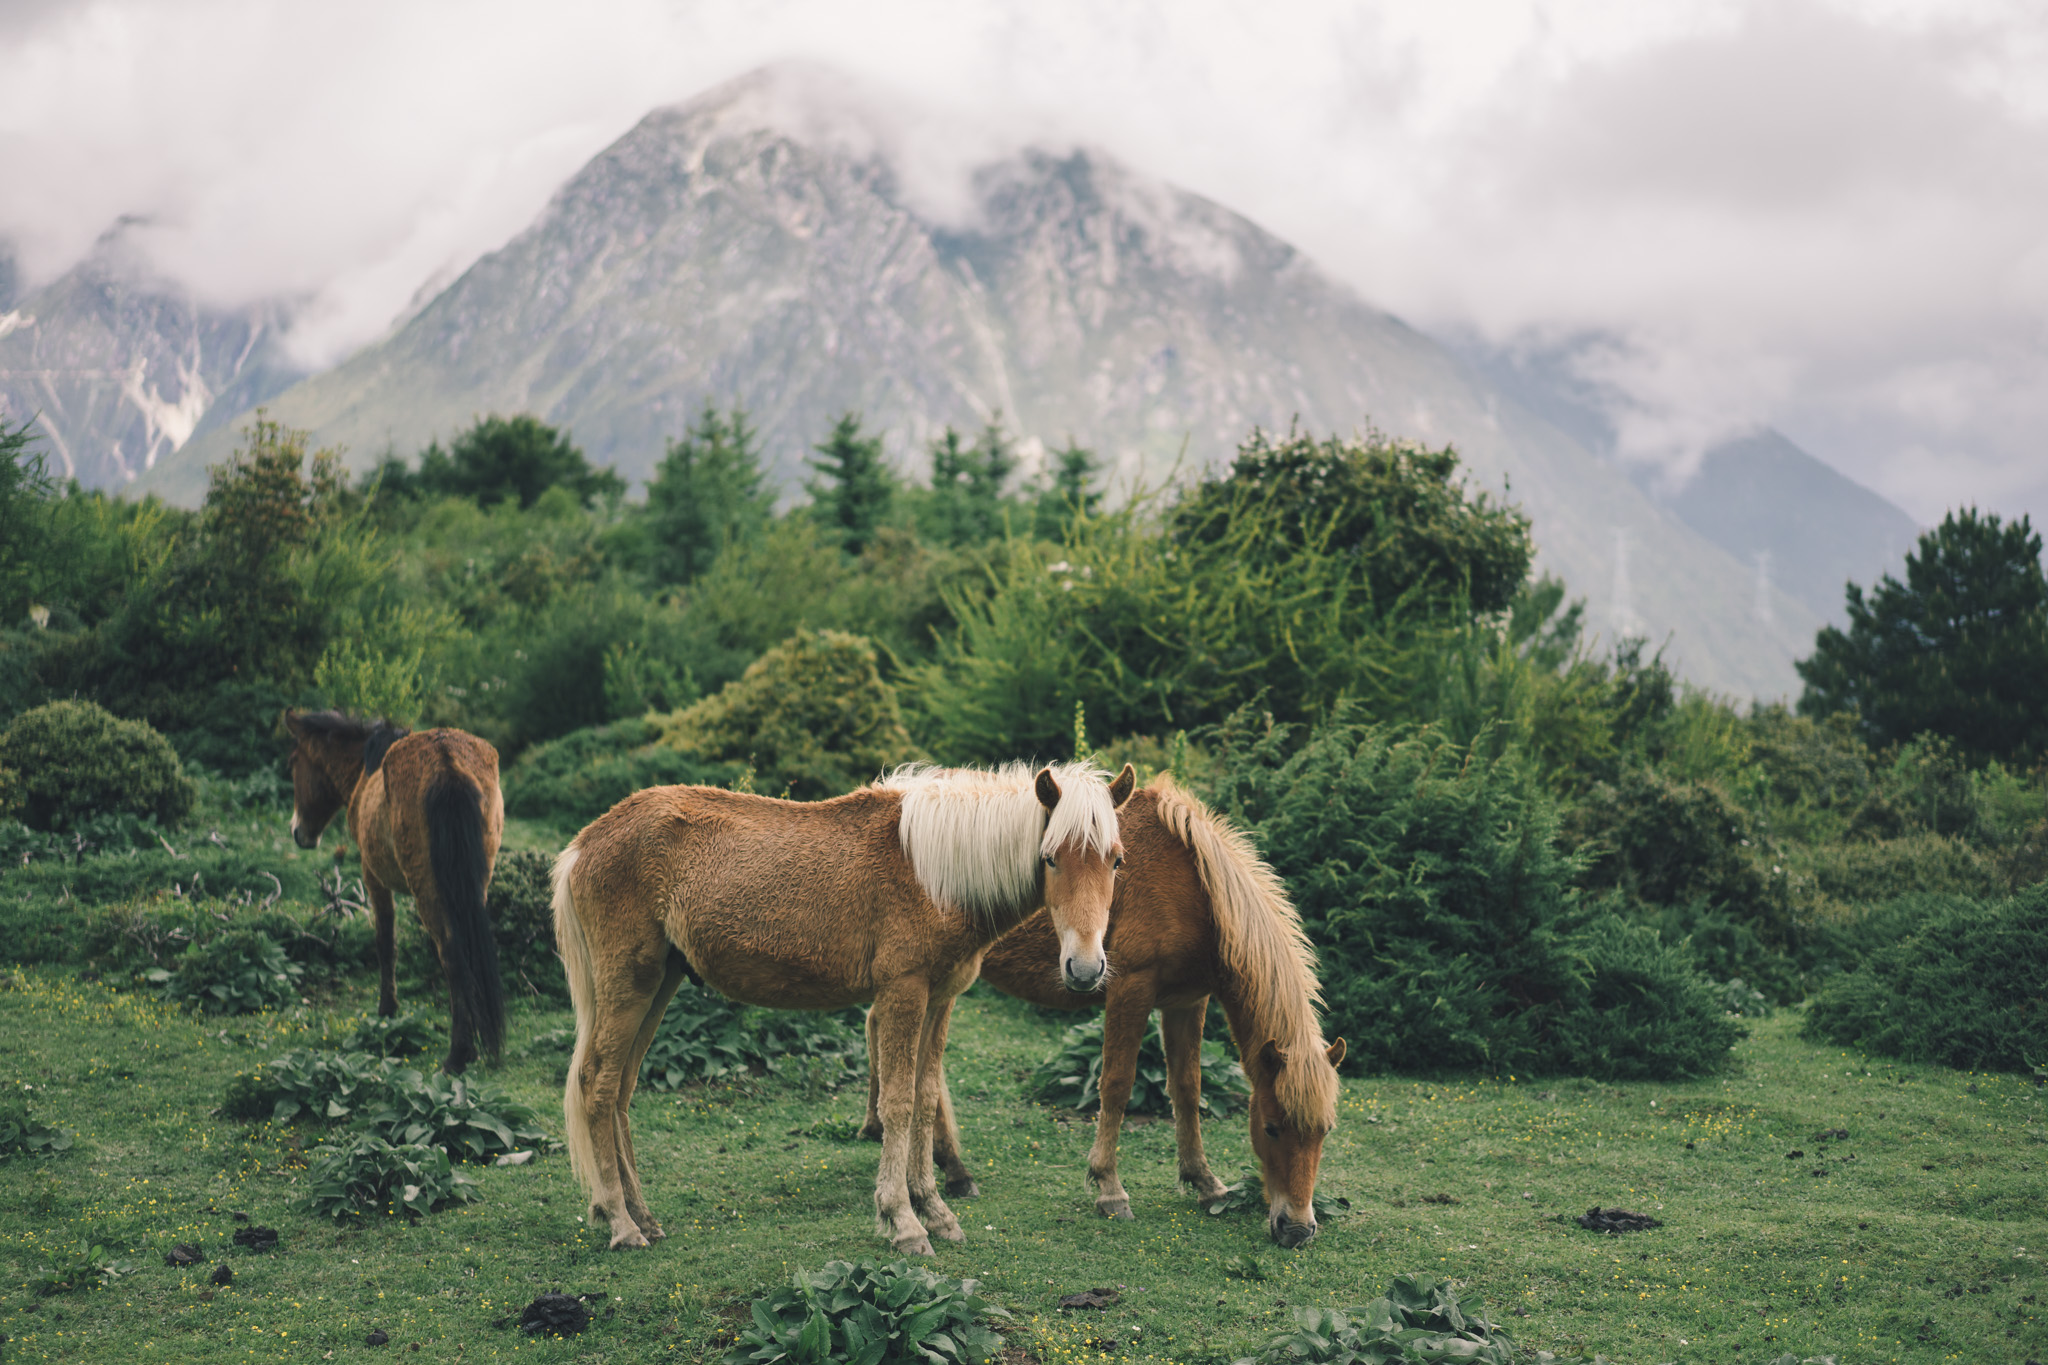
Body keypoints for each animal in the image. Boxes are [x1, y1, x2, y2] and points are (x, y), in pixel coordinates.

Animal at [284, 703, 507, 1080]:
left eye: (294, 762)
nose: (299, 832)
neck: (364, 770)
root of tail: (447, 761)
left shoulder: (372, 875)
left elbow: (385, 941)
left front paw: (387, 1008)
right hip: (475, 883)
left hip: (428, 890)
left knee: (452, 955)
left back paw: (458, 1055)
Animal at [544, 753, 1138, 1252]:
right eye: (1051, 859)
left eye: (1115, 861)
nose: (1085, 969)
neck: (934, 874)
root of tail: (586, 843)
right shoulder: (903, 992)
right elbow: (896, 1103)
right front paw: (902, 1221)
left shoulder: (940, 998)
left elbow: (924, 1099)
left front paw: (936, 1211)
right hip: (630, 985)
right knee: (597, 1086)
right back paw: (621, 1224)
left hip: (658, 986)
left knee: (620, 1092)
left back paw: (642, 1217)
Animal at [864, 773, 1343, 1244]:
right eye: (1271, 1127)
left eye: (1325, 1131)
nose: (1297, 1229)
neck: (1192, 885)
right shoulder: (1131, 988)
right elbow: (1116, 1083)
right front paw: (1109, 1188)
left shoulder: (1188, 1001)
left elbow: (1187, 1088)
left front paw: (1204, 1182)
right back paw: (951, 1170)